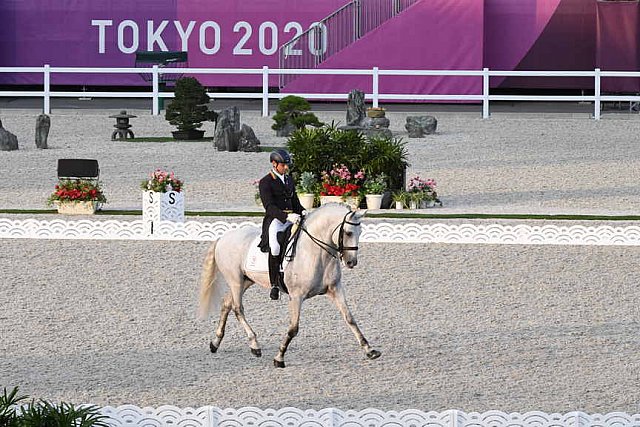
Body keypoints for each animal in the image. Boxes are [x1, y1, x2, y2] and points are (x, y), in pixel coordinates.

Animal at [199, 203, 380, 368]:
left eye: (360, 232)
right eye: (348, 232)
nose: (351, 262)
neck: (316, 252)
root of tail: (222, 238)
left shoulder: (335, 289)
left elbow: (350, 318)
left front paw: (370, 350)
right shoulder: (296, 296)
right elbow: (293, 329)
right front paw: (279, 358)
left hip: (245, 281)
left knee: (227, 303)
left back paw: (215, 343)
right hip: (235, 280)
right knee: (238, 308)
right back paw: (254, 345)